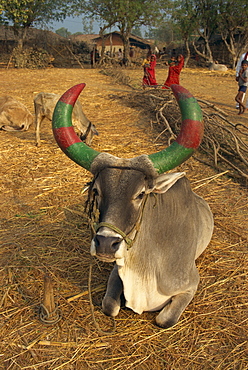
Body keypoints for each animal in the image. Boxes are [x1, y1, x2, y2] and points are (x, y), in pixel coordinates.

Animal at [51, 83, 213, 326]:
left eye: (140, 194)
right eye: (97, 191)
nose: (105, 244)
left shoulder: (190, 285)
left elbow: (164, 319)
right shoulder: (117, 273)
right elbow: (110, 306)